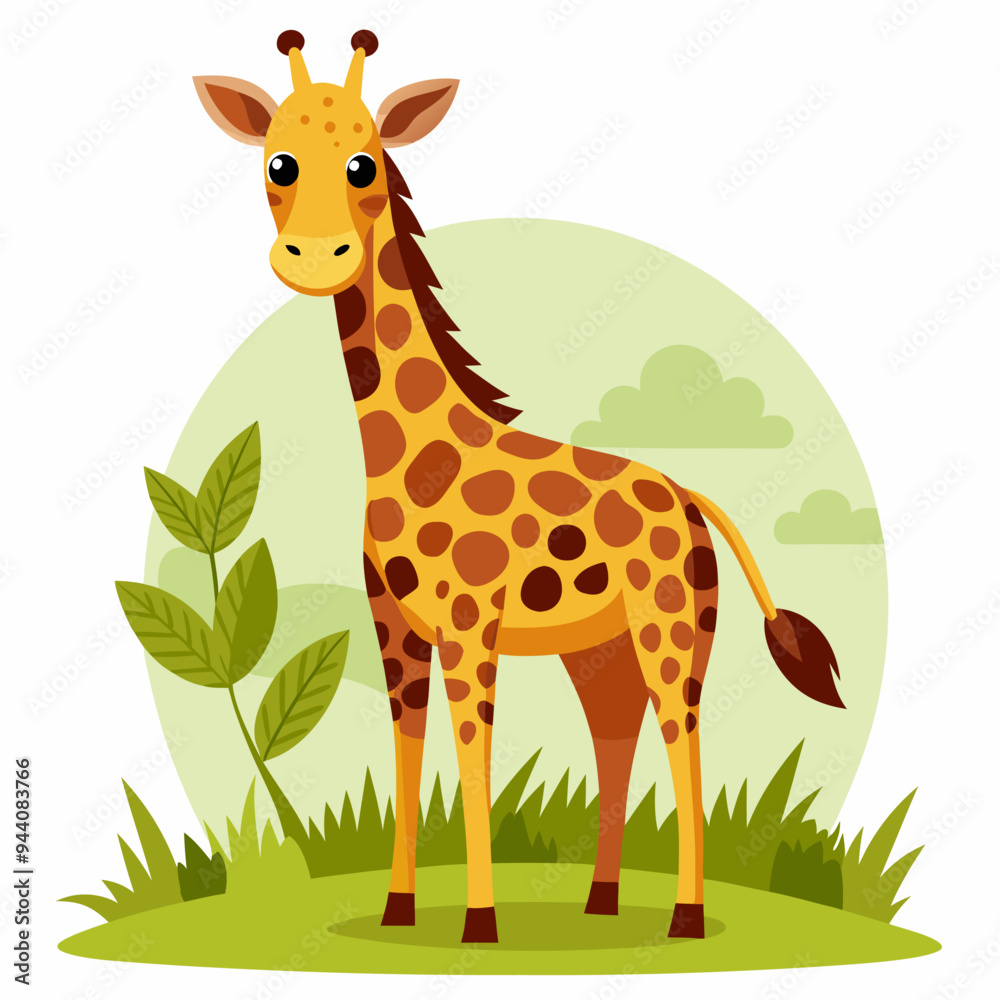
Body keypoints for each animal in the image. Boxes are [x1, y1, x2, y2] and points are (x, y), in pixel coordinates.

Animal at [195, 29, 844, 945]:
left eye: (363, 163)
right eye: (278, 161)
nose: (316, 259)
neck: (408, 452)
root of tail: (692, 500)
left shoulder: (471, 627)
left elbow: (473, 759)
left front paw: (478, 923)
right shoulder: (396, 627)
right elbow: (408, 752)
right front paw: (399, 912)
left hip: (673, 628)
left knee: (683, 737)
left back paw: (683, 916)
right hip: (597, 650)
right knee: (616, 737)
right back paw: (601, 901)